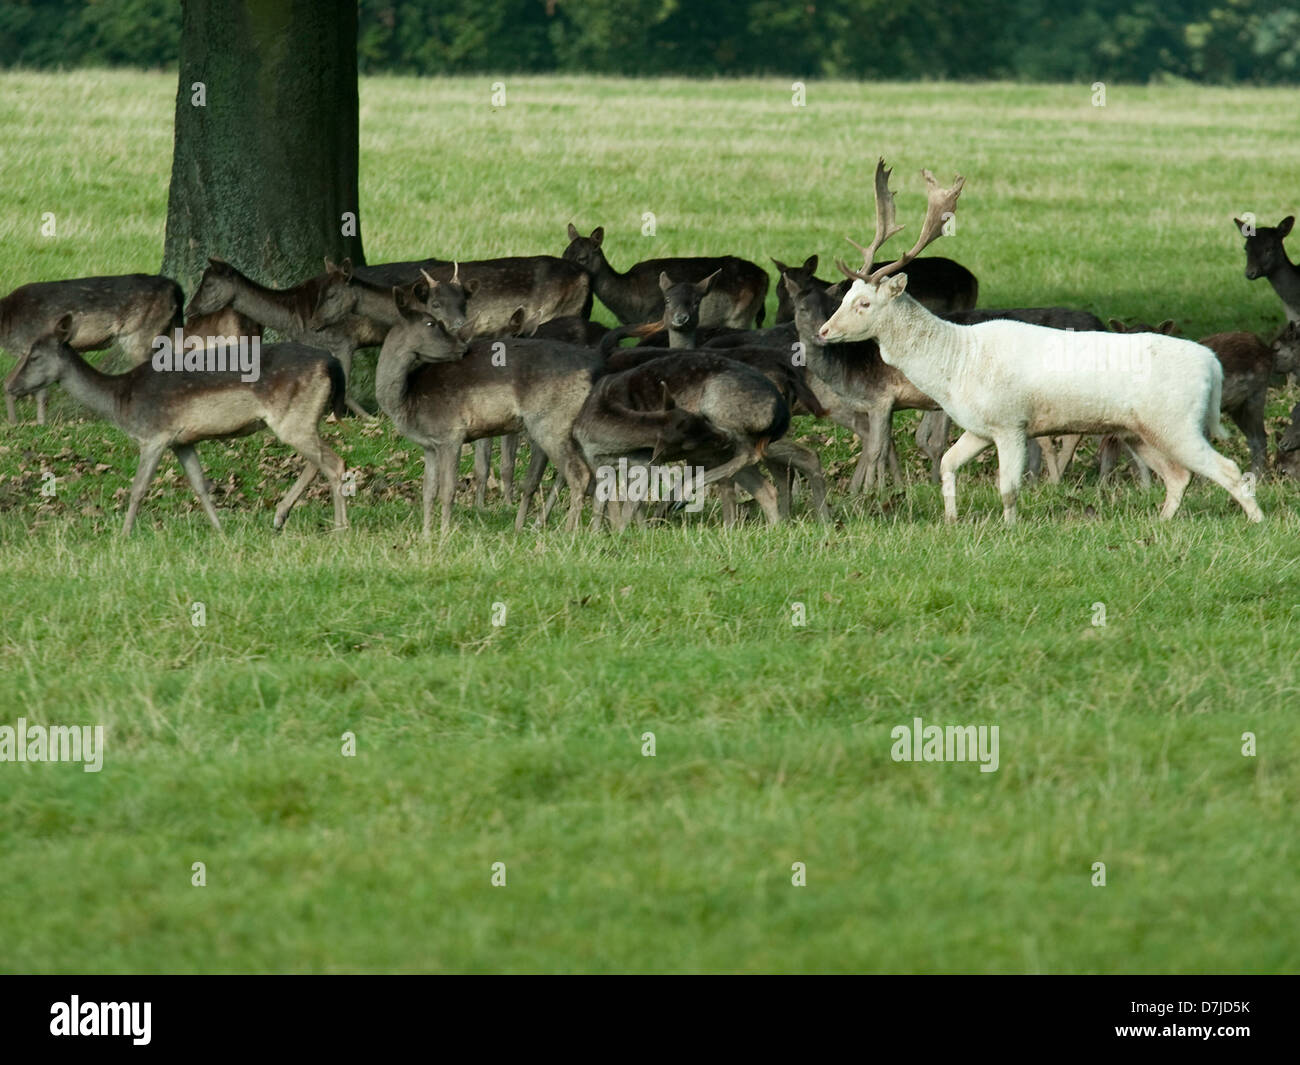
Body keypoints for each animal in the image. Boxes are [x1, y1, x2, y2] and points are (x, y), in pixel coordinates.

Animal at [5, 314, 348, 533]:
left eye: (34, 356)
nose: (10, 385)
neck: (120, 401)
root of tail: (332, 364)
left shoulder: (155, 434)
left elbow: (138, 488)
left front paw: (123, 535)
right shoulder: (183, 441)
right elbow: (200, 485)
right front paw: (220, 531)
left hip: (292, 417)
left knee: (335, 462)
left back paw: (339, 528)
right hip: (302, 418)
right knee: (319, 460)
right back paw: (279, 517)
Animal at [821, 159, 1258, 525]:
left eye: (863, 302)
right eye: (844, 296)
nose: (824, 331)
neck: (957, 365)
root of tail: (1211, 363)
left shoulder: (1011, 421)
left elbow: (1008, 487)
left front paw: (1010, 529)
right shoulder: (980, 426)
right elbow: (947, 463)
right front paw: (950, 520)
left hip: (1179, 421)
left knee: (1229, 470)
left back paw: (1257, 522)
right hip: (1142, 430)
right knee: (1179, 476)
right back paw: (1162, 522)